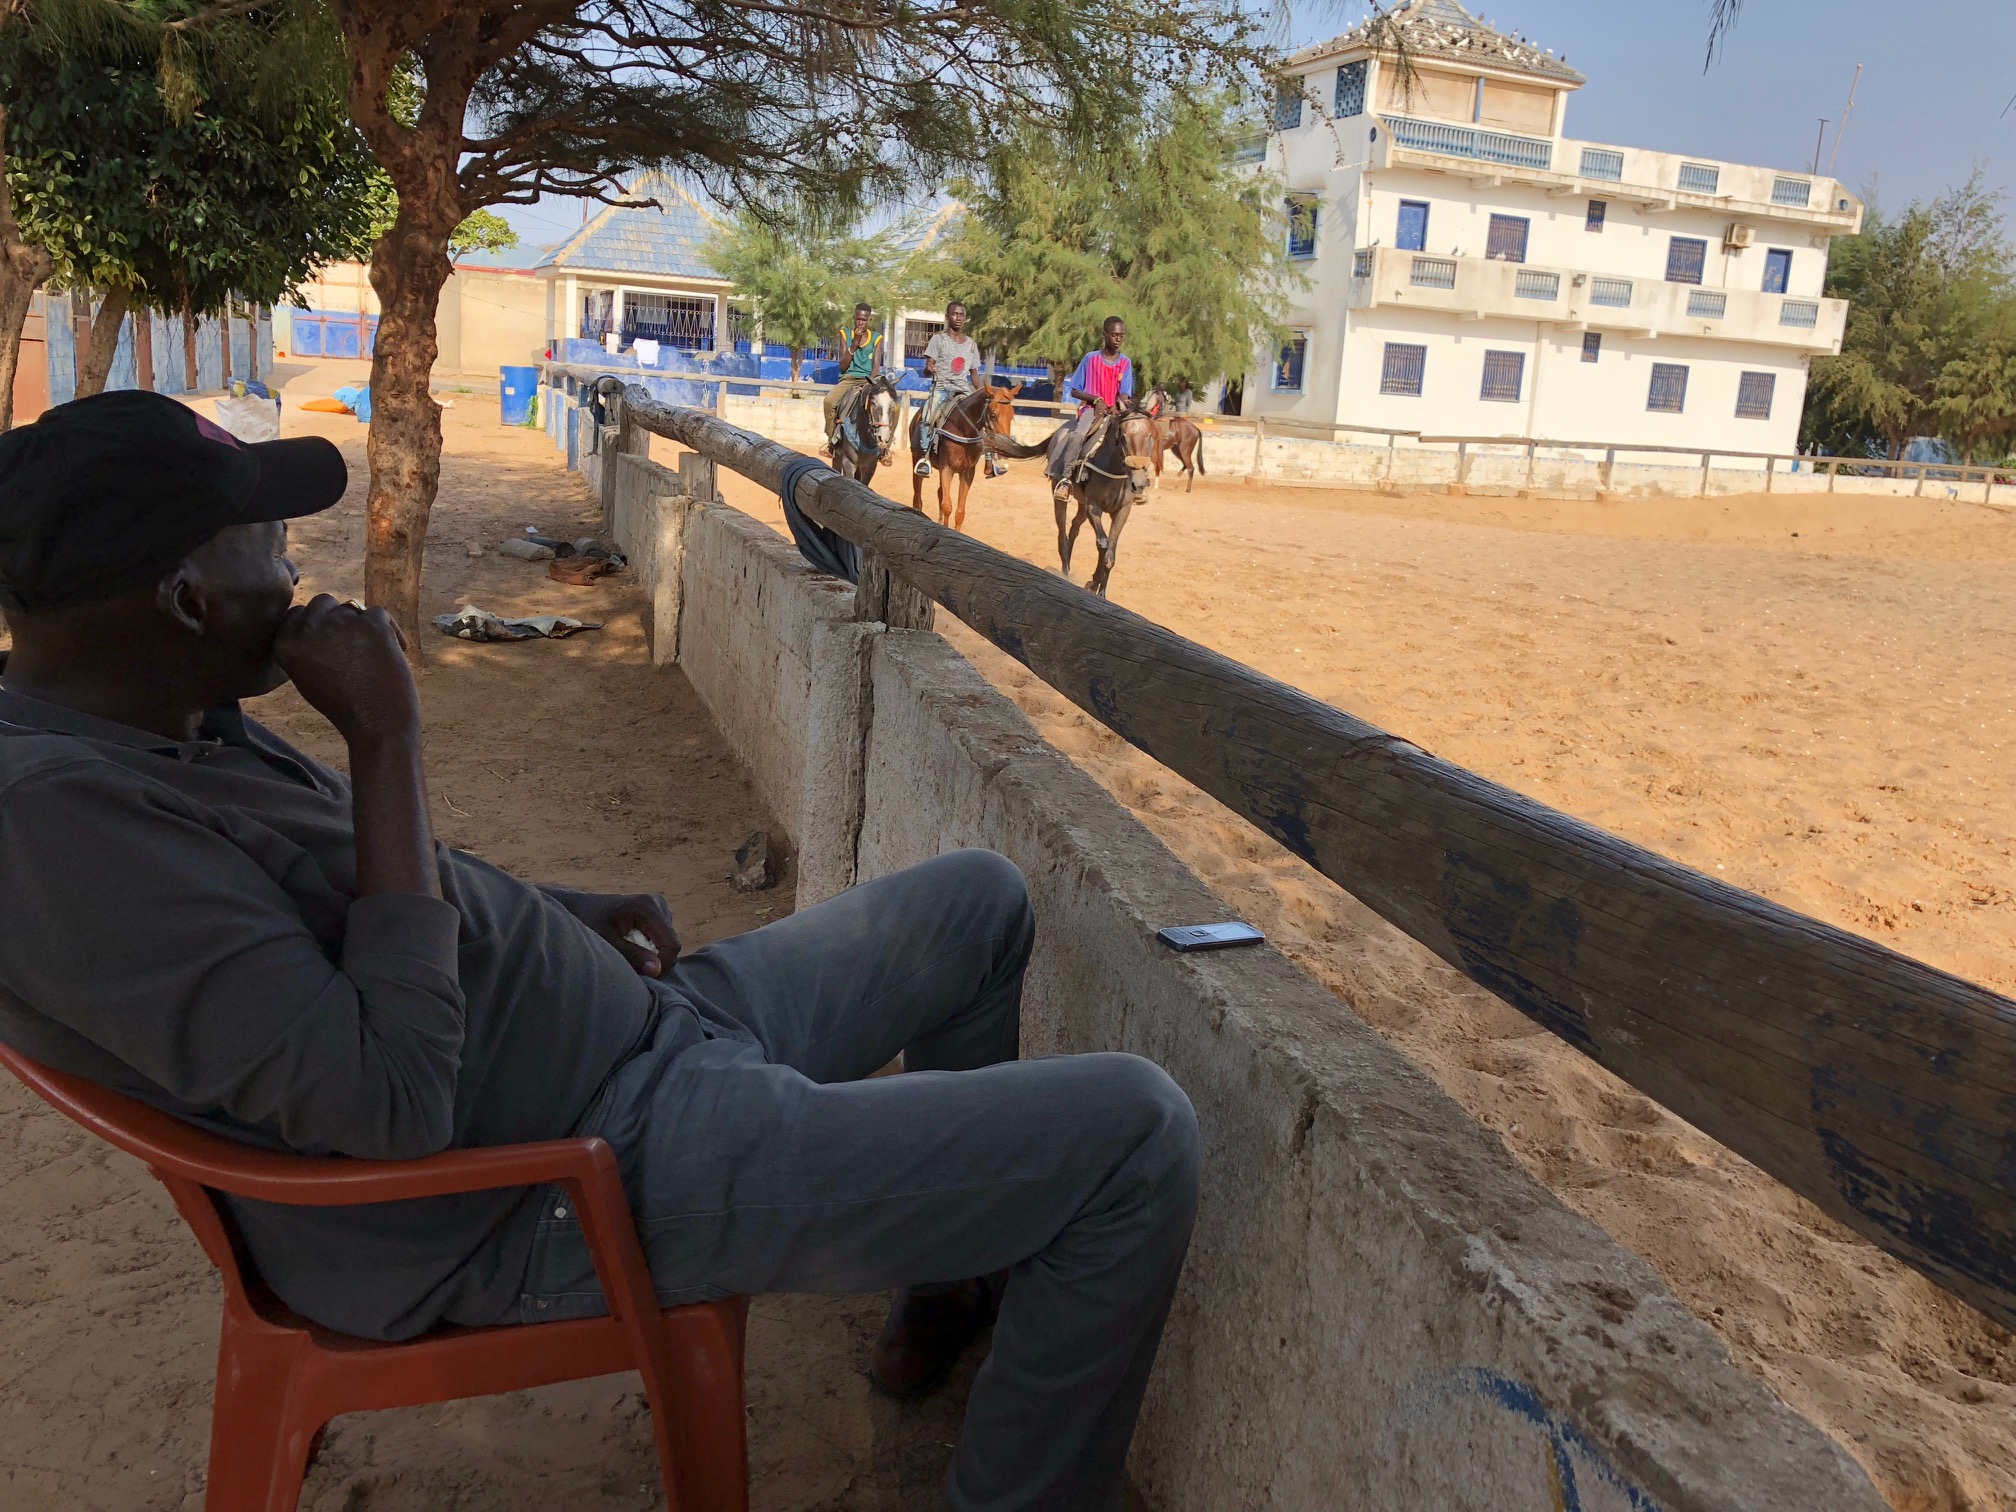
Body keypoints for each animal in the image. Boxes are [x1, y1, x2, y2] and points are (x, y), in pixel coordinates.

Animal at [907, 379, 1024, 532]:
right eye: (993, 414)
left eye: (1012, 415)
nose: (1005, 447)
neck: (963, 432)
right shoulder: (947, 469)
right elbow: (947, 506)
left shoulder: (967, 472)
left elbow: (959, 512)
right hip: (916, 459)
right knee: (917, 497)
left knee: (939, 493)